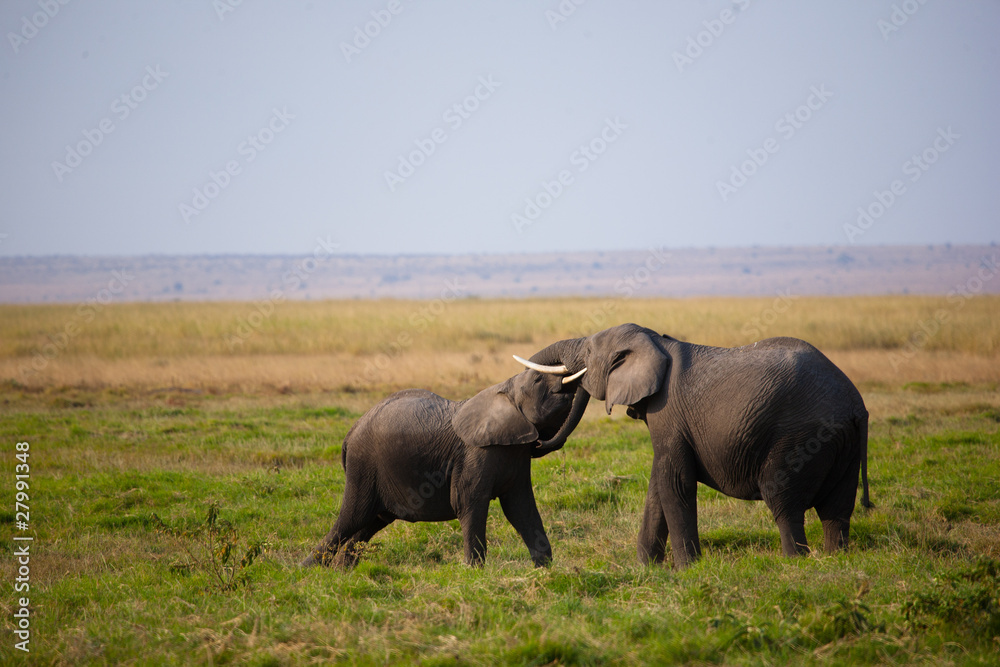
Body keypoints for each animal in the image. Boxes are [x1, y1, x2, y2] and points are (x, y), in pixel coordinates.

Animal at [300, 366, 588, 568]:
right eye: (538, 381)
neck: (503, 391)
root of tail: (350, 433)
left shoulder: (515, 455)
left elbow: (521, 508)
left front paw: (546, 571)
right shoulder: (476, 453)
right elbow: (468, 501)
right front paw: (474, 573)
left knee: (370, 523)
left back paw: (343, 571)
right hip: (363, 466)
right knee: (351, 518)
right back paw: (306, 569)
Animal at [520, 324, 872, 568]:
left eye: (590, 353)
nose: (535, 443)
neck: (655, 341)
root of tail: (856, 405)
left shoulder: (668, 412)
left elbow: (674, 482)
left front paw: (687, 570)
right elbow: (658, 484)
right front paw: (645, 569)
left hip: (799, 439)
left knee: (783, 500)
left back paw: (794, 563)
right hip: (843, 444)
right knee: (837, 510)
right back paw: (835, 560)